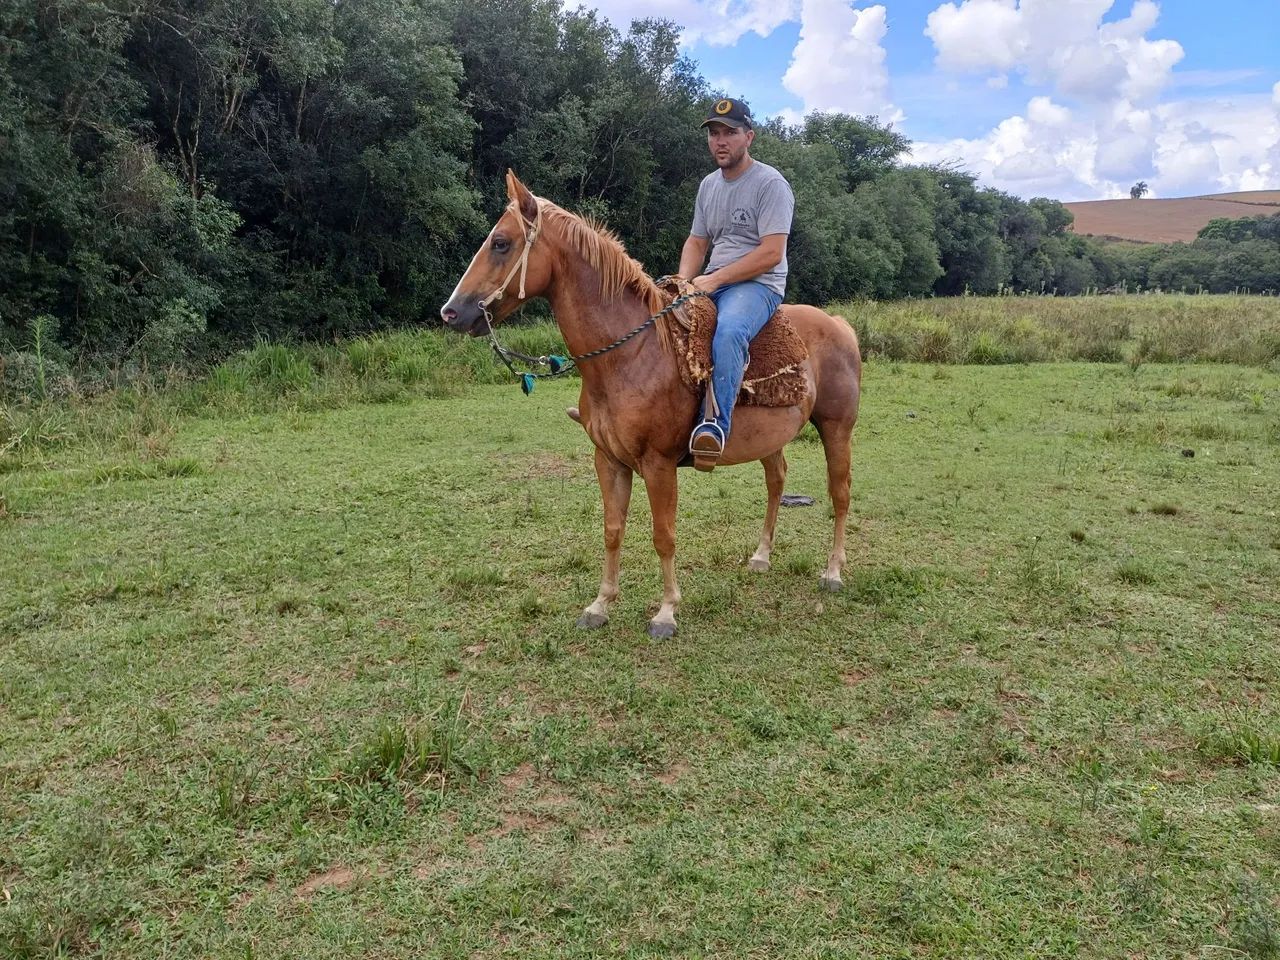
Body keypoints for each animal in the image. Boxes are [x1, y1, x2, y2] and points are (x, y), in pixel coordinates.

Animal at [441, 171, 861, 638]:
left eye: (500, 242)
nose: (451, 312)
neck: (630, 354)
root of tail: (839, 325)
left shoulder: (659, 464)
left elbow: (664, 535)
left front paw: (666, 613)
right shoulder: (608, 460)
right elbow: (612, 530)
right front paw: (600, 604)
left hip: (836, 428)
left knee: (840, 493)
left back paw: (833, 573)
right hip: (773, 439)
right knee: (777, 481)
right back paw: (761, 556)